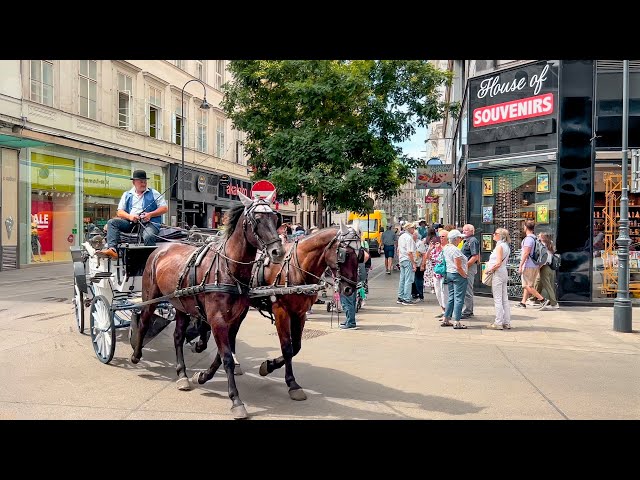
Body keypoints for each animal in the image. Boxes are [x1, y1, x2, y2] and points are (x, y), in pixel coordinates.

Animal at [131, 191, 284, 420]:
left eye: (276, 219)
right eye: (256, 220)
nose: (278, 252)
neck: (229, 268)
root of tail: (162, 247)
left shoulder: (234, 320)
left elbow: (223, 355)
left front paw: (202, 376)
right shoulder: (217, 320)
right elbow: (227, 357)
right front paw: (236, 400)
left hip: (181, 304)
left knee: (177, 336)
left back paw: (182, 374)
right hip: (151, 296)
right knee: (143, 322)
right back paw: (136, 355)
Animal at [189, 224, 360, 402]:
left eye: (361, 255)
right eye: (345, 254)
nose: (350, 289)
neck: (296, 267)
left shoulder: (300, 313)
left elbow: (296, 347)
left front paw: (269, 365)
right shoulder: (281, 312)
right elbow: (287, 348)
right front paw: (291, 383)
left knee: (230, 334)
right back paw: (201, 344)